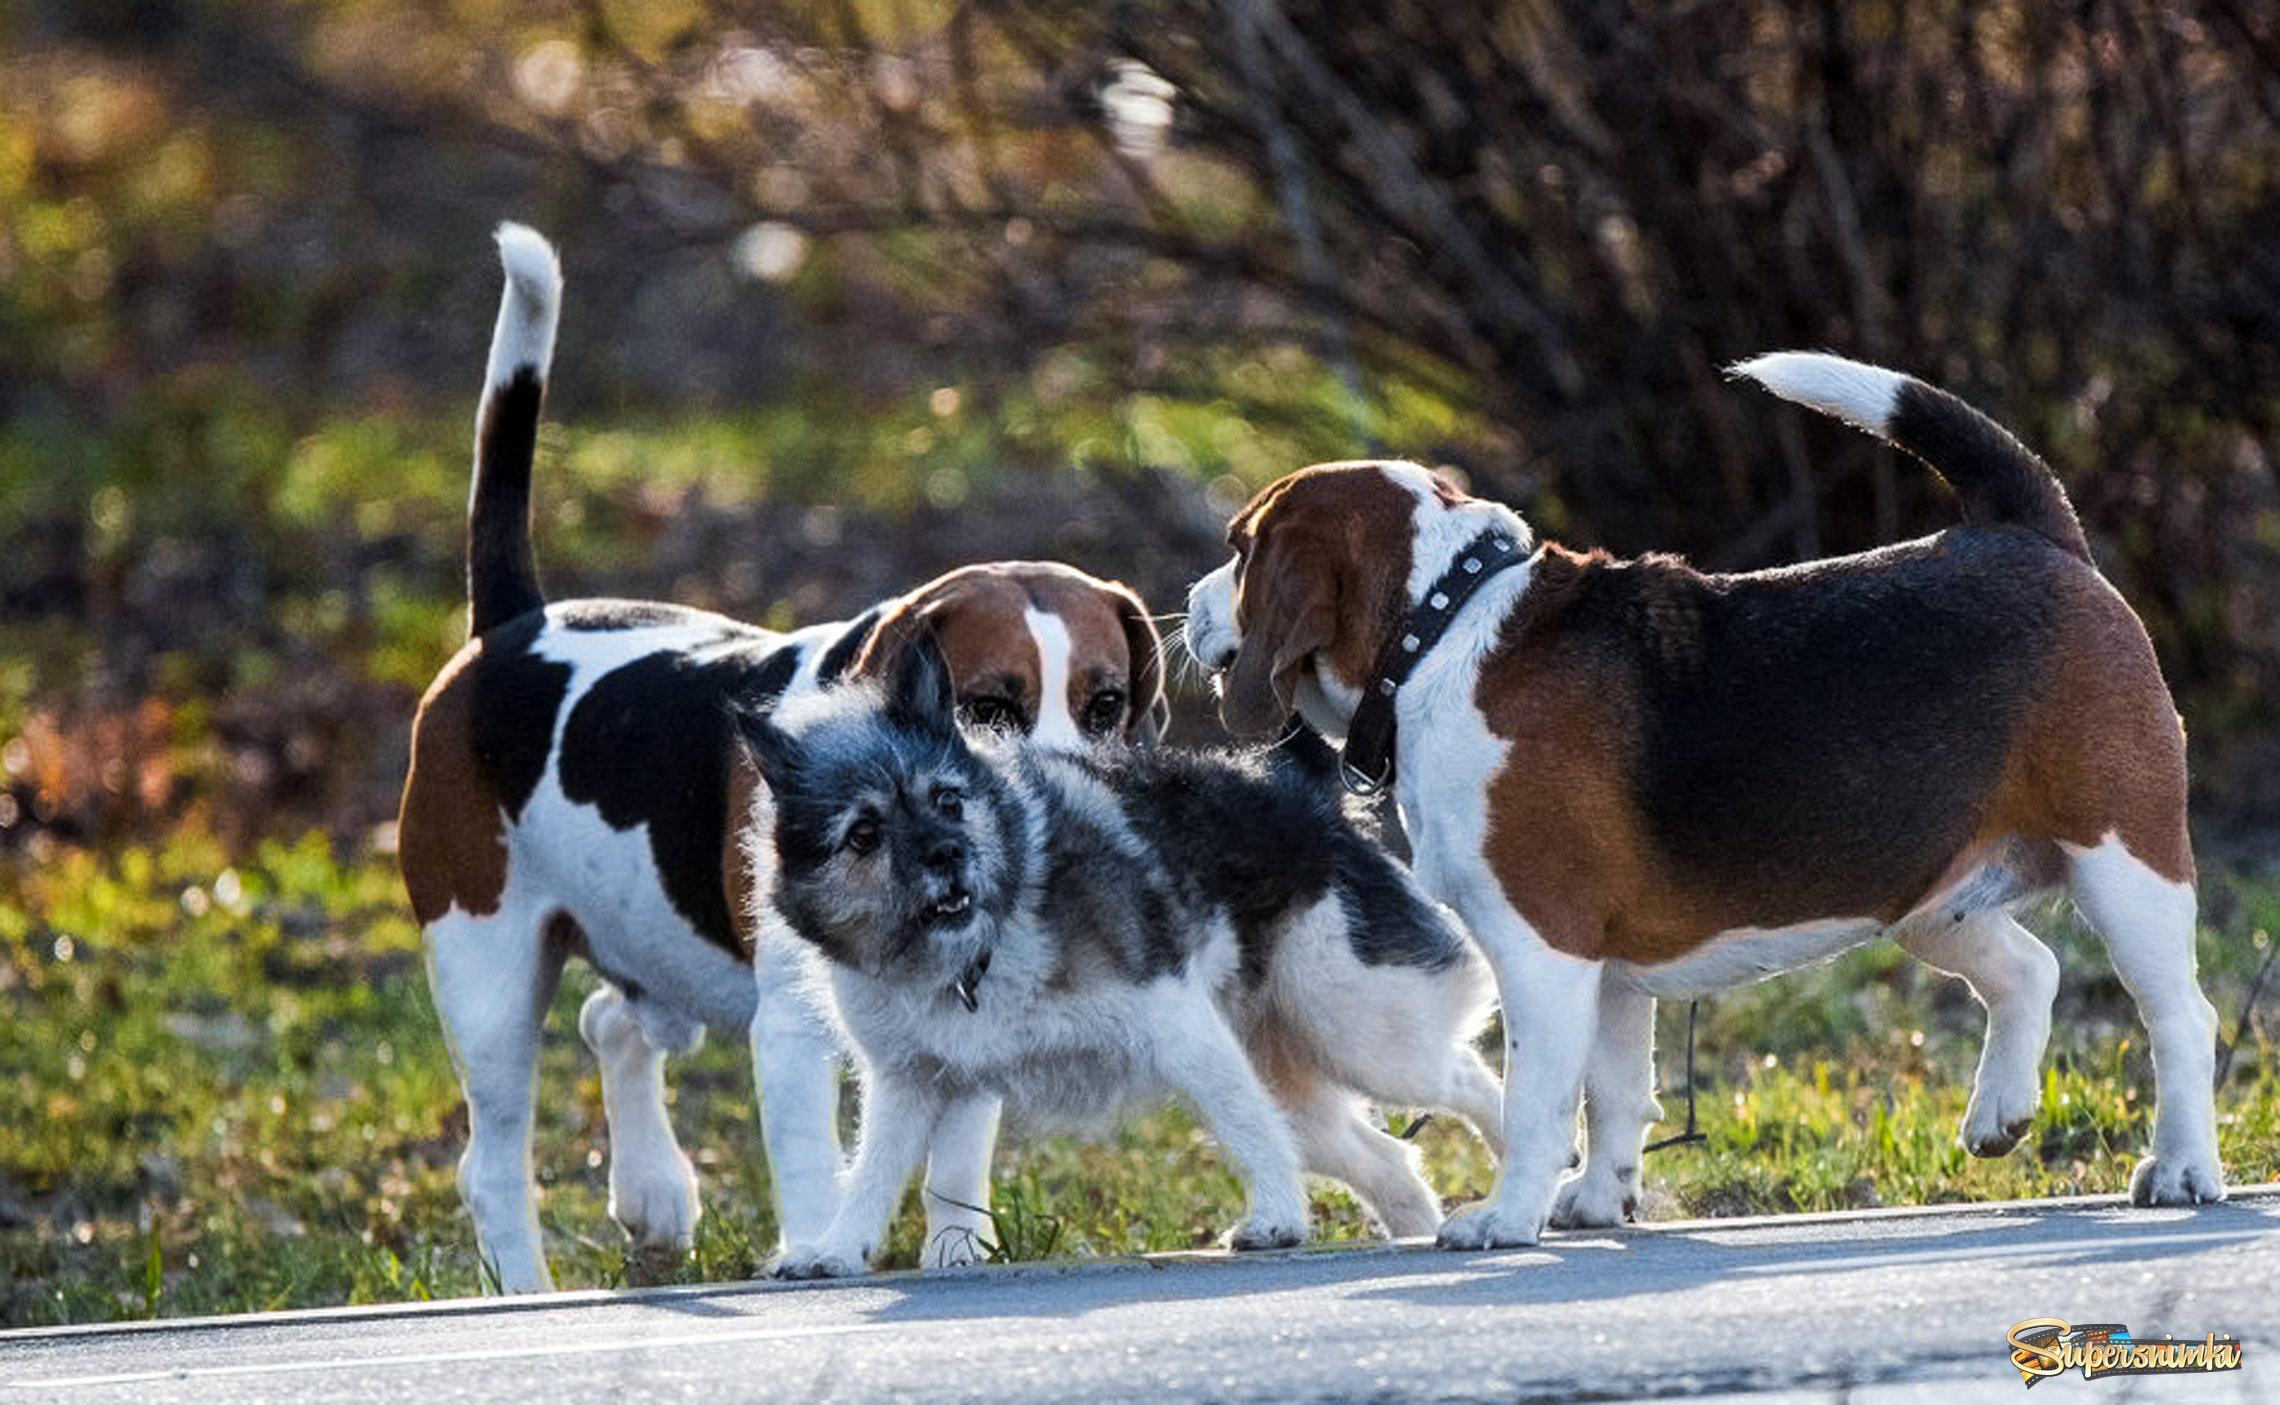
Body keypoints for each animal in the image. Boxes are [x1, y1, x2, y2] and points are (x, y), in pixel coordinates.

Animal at [738, 634, 1504, 1277]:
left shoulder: (1180, 1028)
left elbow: (1248, 1130)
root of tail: (1310, 797)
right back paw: (1417, 1230)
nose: (950, 854)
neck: (986, 938)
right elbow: (870, 1174)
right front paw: (837, 1250)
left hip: (1362, 1034)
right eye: (863, 832)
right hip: (1294, 1073)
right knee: (1390, 1159)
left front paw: (1280, 1220)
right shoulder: (909, 1082)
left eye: (947, 800)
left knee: (1472, 1081)